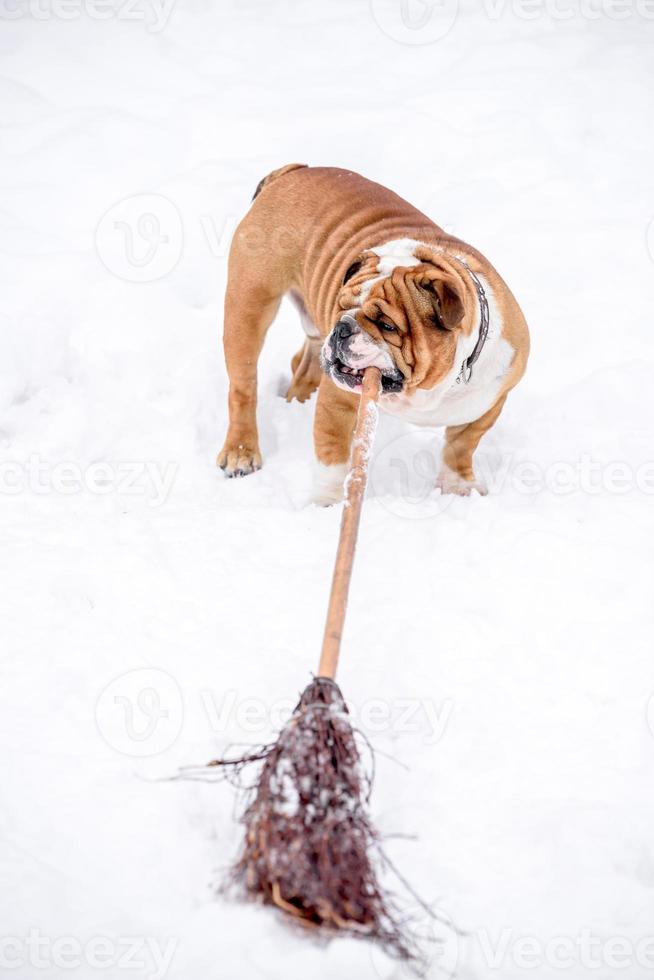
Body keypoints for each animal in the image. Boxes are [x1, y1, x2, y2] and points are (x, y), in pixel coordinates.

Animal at [218, 164, 532, 502]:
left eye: (387, 325)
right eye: (342, 306)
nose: (341, 327)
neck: (430, 386)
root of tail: (294, 170)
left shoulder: (488, 404)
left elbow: (461, 447)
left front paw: (457, 487)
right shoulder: (337, 402)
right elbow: (332, 458)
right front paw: (328, 503)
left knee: (304, 359)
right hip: (249, 306)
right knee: (243, 388)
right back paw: (241, 452)